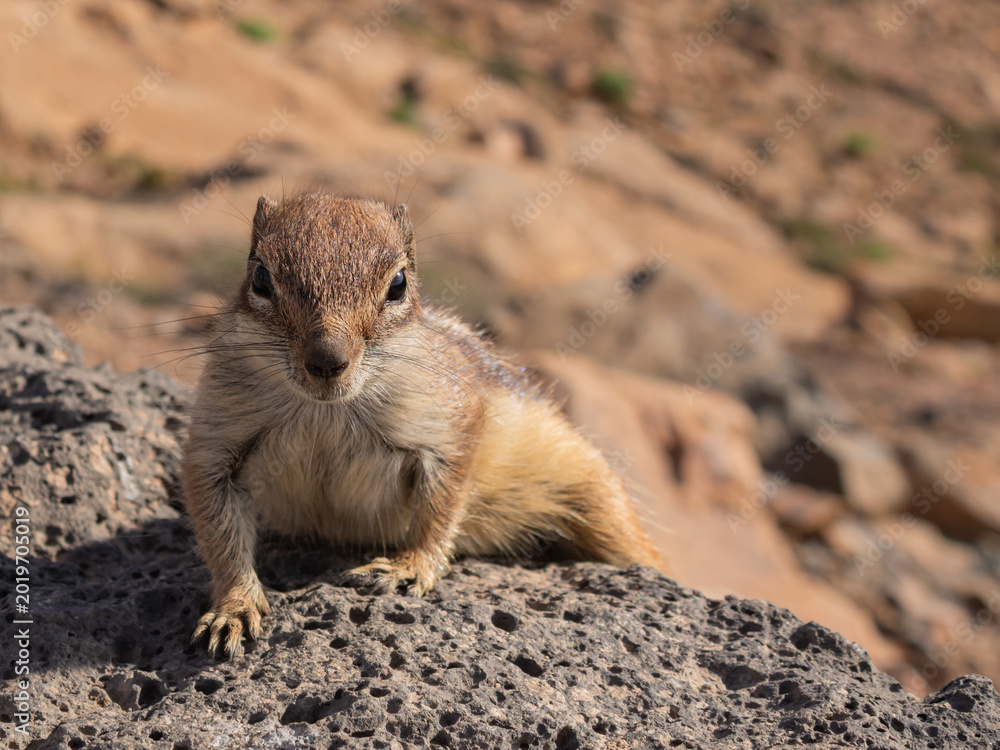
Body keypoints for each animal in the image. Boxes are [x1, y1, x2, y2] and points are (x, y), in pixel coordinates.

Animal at [184, 192, 661, 657]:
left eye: (398, 285)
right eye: (261, 278)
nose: (327, 360)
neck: (327, 412)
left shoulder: (450, 425)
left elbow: (440, 508)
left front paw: (407, 568)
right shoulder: (215, 439)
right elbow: (219, 532)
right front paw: (234, 607)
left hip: (597, 497)